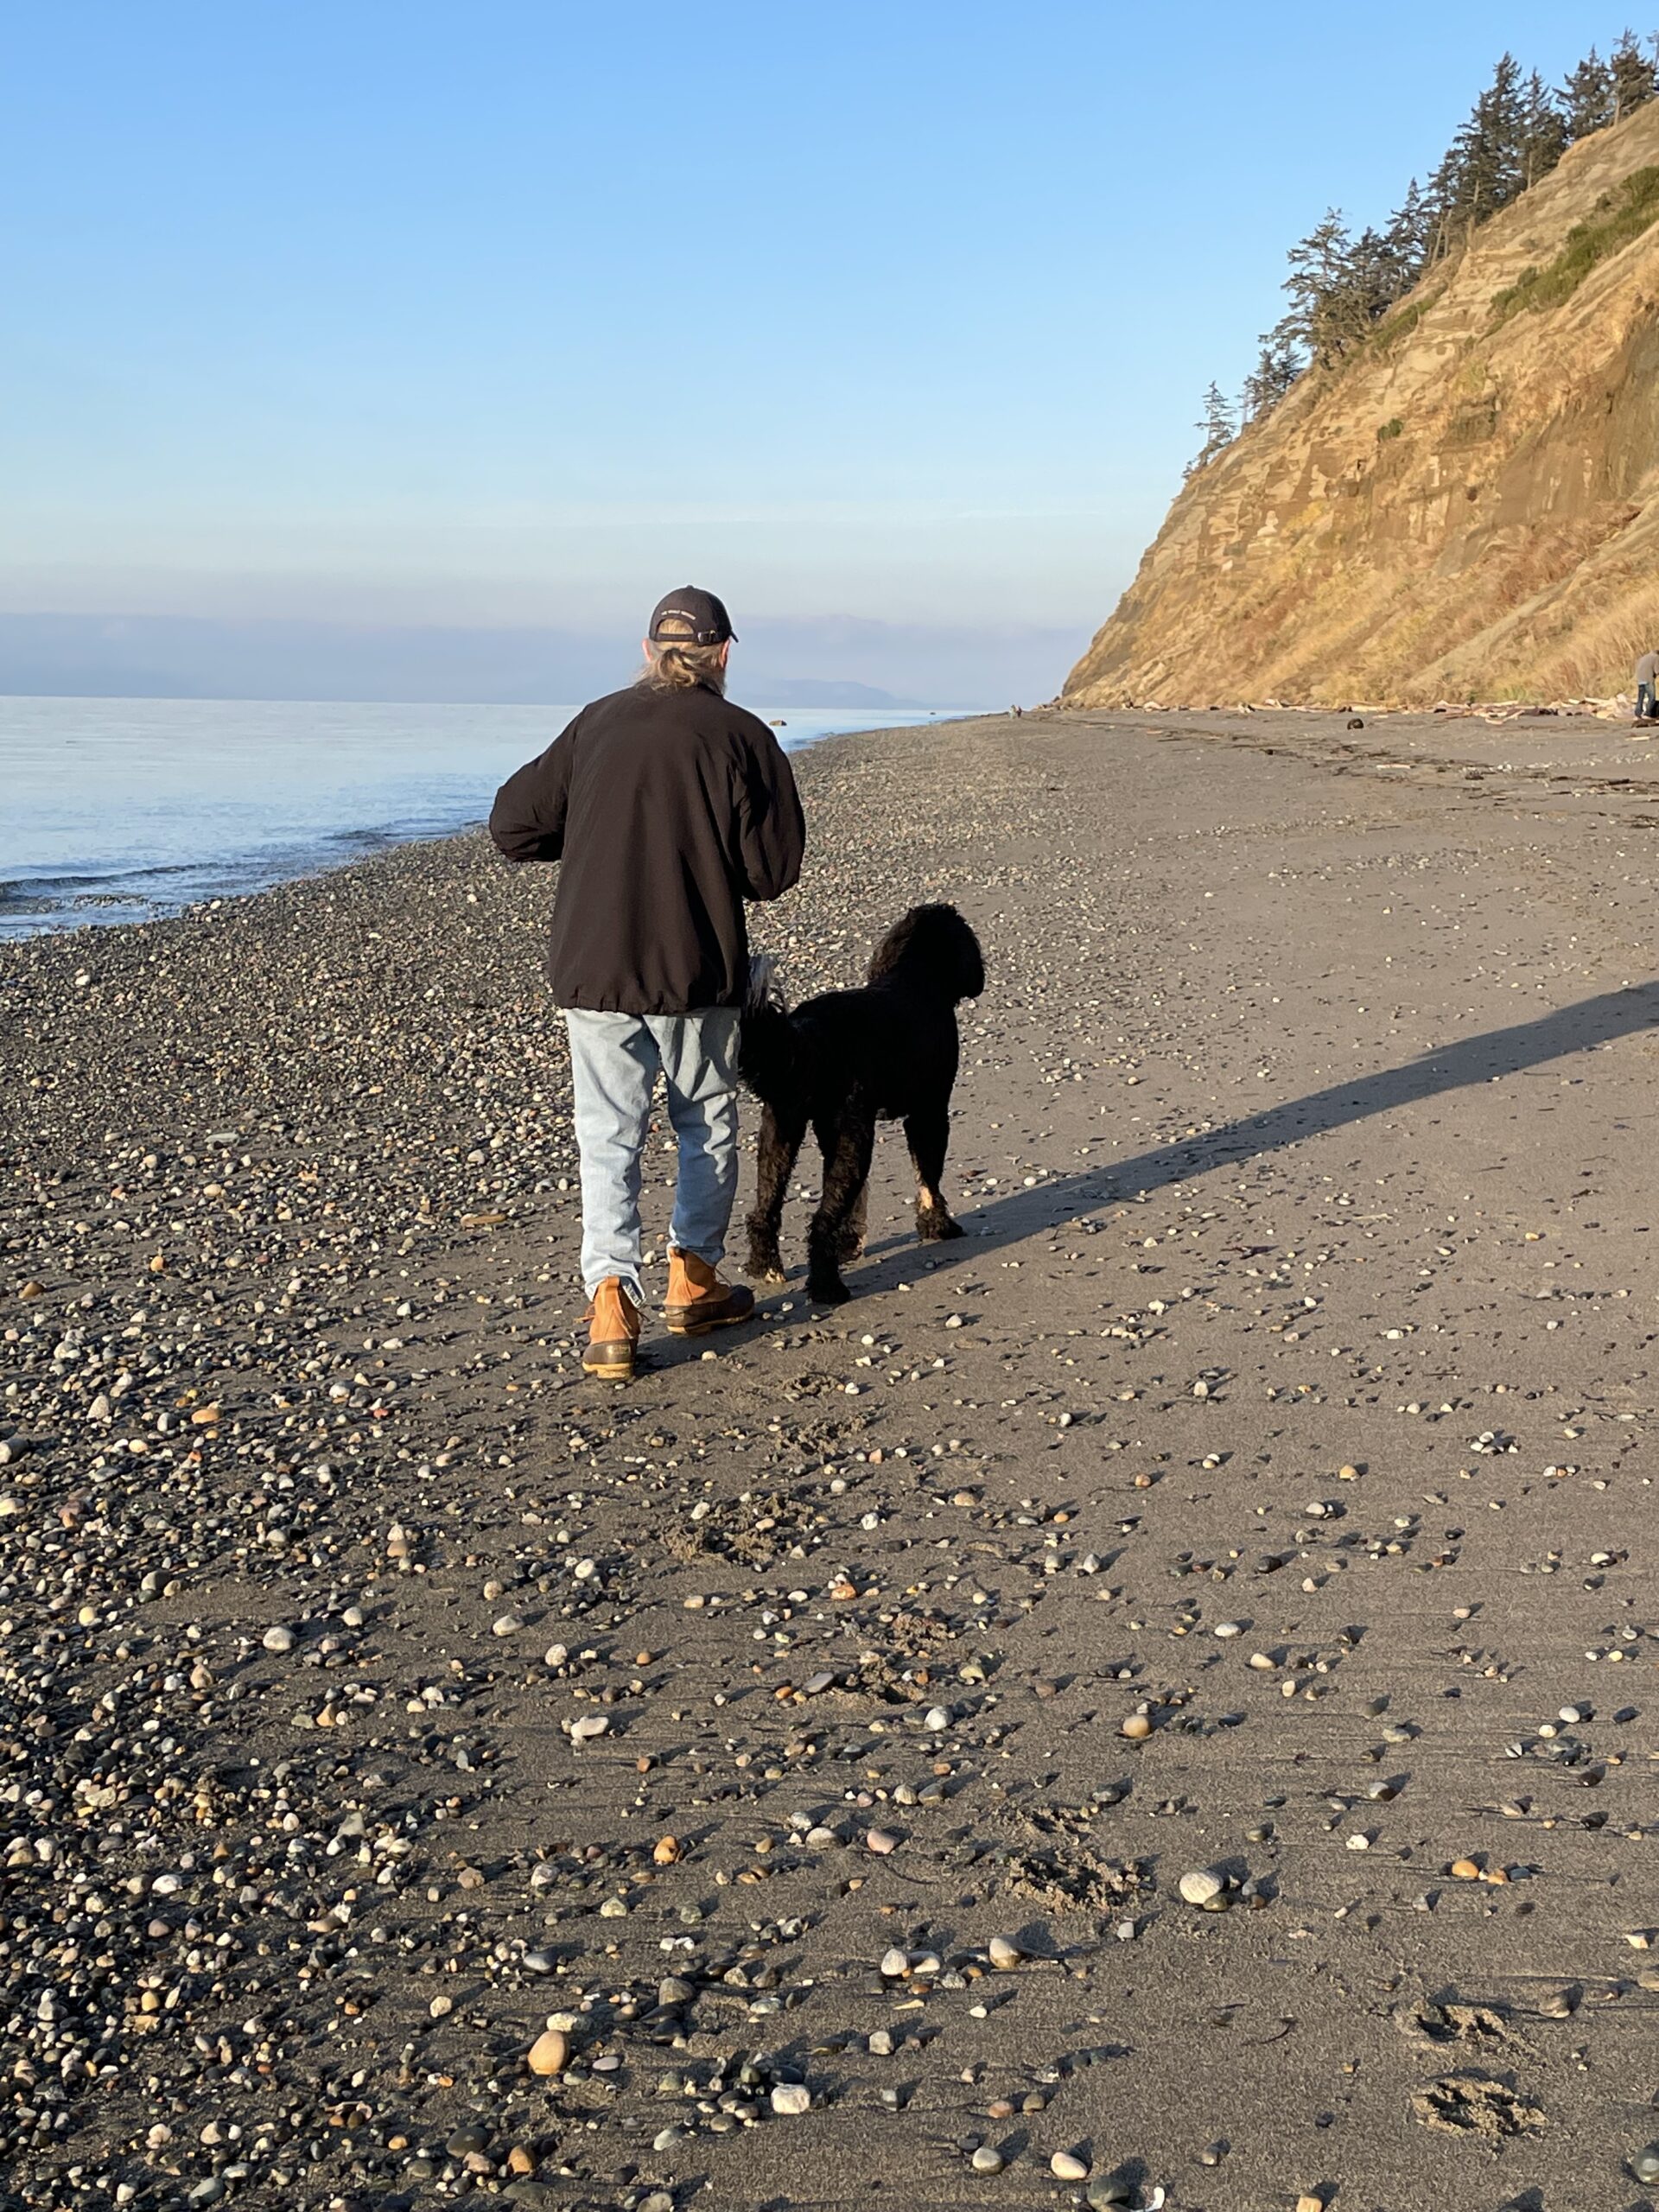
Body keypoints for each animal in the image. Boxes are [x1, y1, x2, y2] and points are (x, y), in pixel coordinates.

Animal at [739, 906, 986, 1300]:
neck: (915, 974)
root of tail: (811, 1033)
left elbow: (856, 1201)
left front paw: (849, 1242)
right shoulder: (928, 1113)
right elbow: (928, 1178)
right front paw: (938, 1226)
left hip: (779, 1132)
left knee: (765, 1209)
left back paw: (767, 1267)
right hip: (851, 1138)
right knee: (820, 1223)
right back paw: (828, 1288)